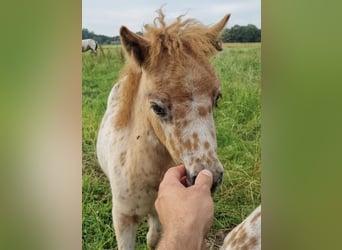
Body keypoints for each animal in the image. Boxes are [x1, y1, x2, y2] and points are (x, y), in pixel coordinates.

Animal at [95, 10, 230, 249]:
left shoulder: (161, 212)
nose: (211, 178)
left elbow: (154, 238)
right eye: (157, 107)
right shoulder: (123, 219)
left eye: (217, 98)